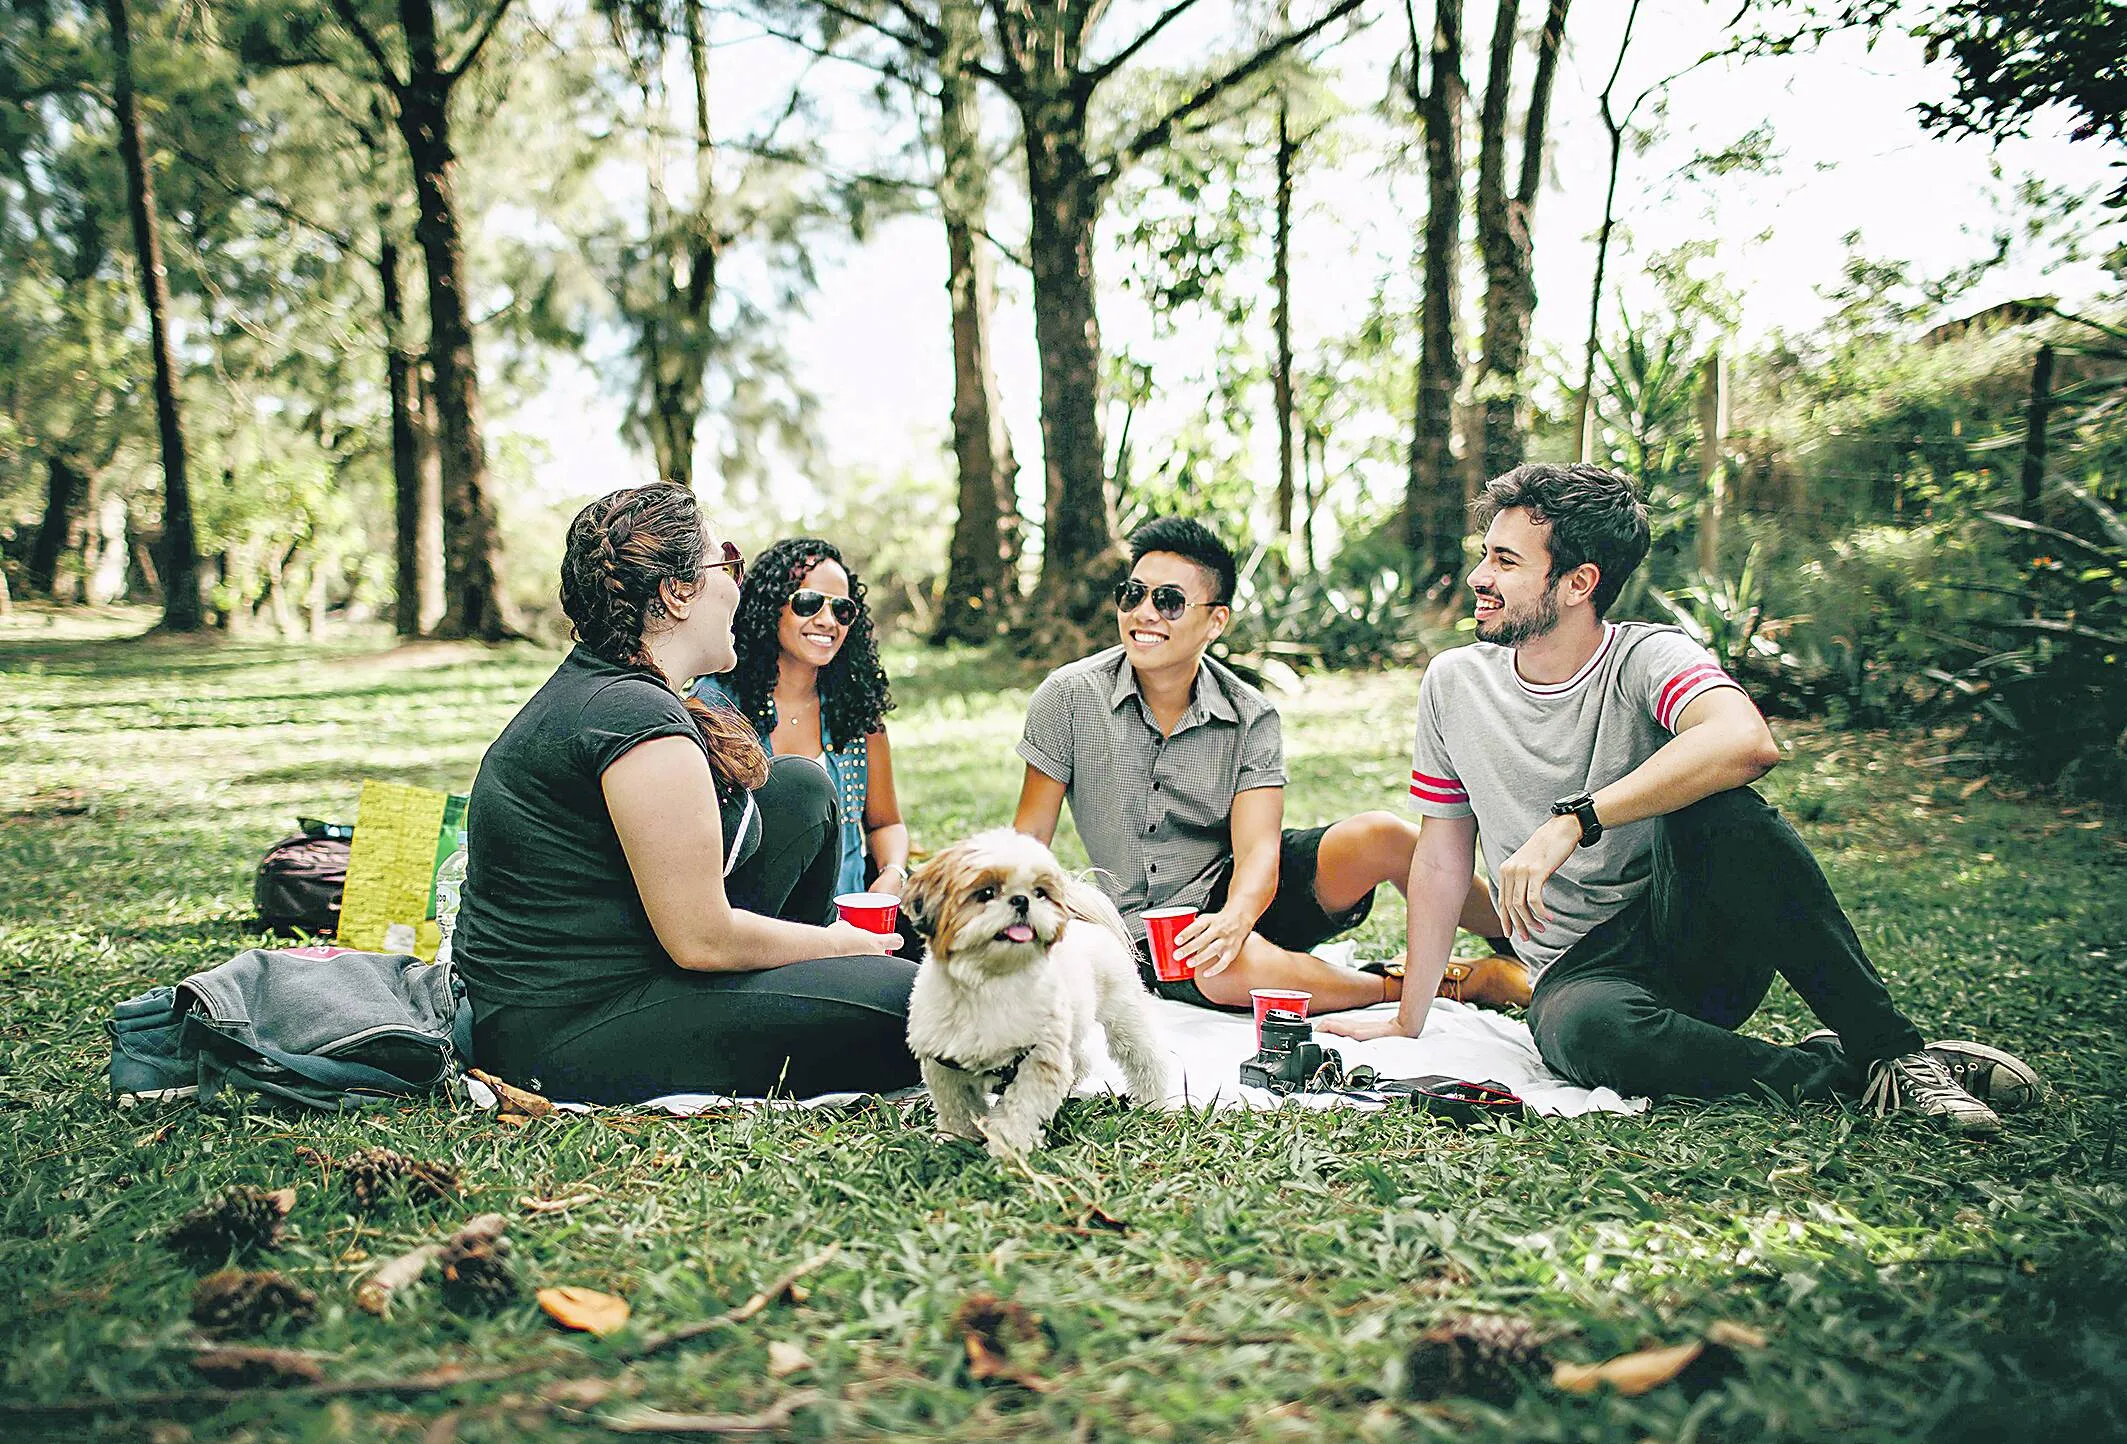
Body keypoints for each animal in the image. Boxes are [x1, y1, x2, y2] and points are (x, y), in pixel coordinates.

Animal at [901, 829, 1174, 1156]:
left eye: (1039, 893)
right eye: (986, 893)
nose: (1021, 900)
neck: (991, 982)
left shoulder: (1038, 1060)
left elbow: (1019, 1111)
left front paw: (1007, 1149)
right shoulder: (944, 1064)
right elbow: (957, 1107)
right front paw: (956, 1140)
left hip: (1123, 1015)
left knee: (1145, 1058)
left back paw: (1152, 1102)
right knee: (1079, 1061)